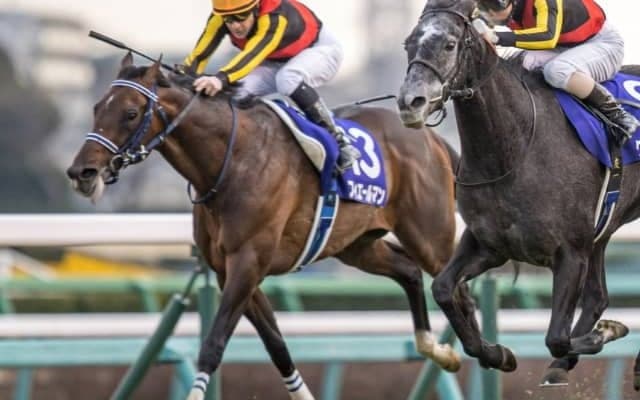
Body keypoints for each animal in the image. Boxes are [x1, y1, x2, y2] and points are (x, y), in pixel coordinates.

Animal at [67, 52, 461, 400]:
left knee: (453, 288)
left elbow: (214, 344)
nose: (81, 172)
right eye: (97, 107)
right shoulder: (230, 269)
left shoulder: (248, 261)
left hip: (429, 236)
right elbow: (277, 346)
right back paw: (437, 349)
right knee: (408, 270)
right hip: (357, 245)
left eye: (131, 113)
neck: (232, 161)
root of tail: (429, 136)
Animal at [397, 0, 636, 386]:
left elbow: (556, 337)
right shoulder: (489, 244)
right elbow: (444, 289)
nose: (410, 103)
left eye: (449, 44)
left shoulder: (570, 252)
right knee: (597, 297)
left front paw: (605, 332)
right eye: (408, 44)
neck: (514, 148)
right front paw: (498, 354)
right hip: (600, 235)